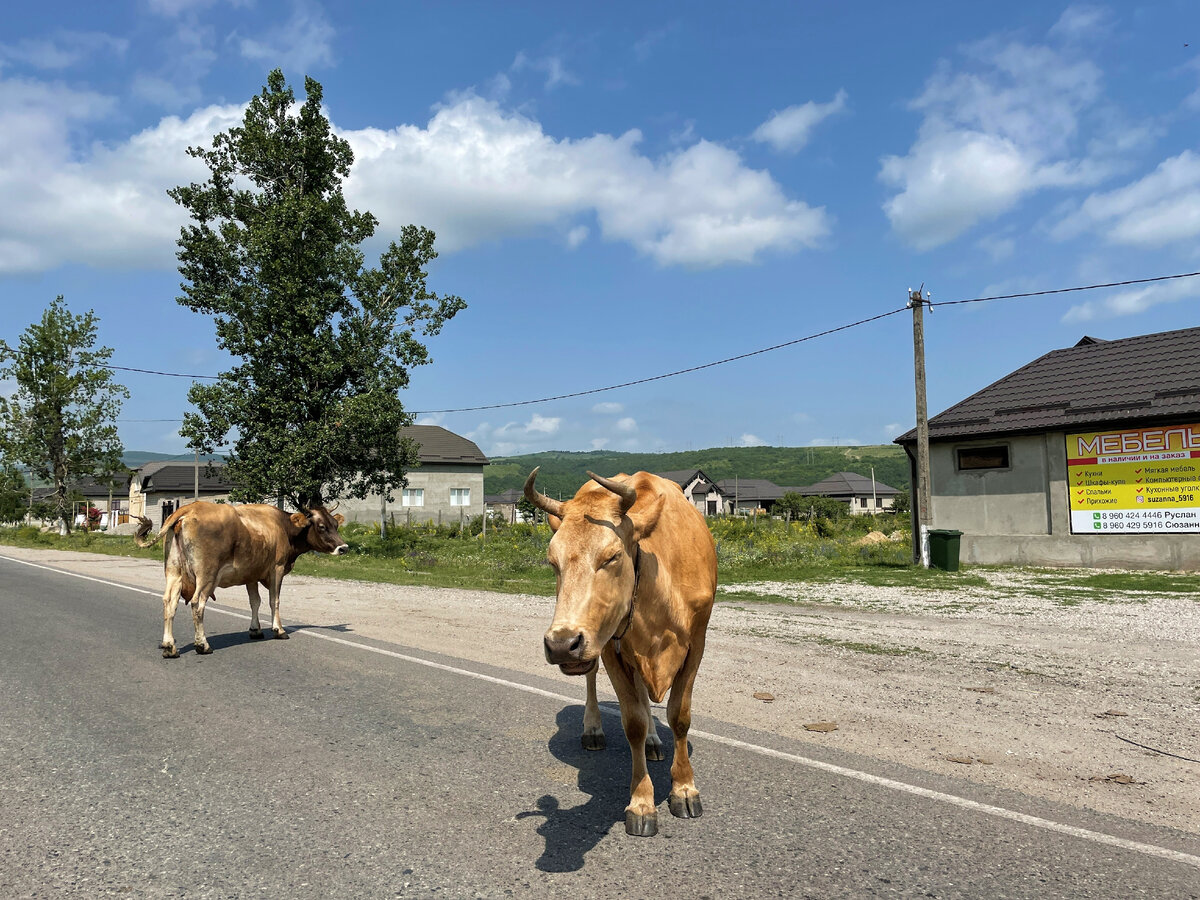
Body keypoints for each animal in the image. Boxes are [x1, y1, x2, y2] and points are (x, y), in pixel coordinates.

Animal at [138, 504, 350, 657]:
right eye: (321, 527)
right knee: (198, 604)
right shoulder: (277, 569)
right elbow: (274, 600)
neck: (282, 526)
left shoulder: (250, 574)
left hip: (174, 571)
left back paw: (169, 646)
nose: (344, 548)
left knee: (169, 602)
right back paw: (203, 645)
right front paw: (279, 630)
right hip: (206, 575)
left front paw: (255, 630)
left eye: (335, 524)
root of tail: (189, 508)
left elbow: (255, 601)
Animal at [523, 468, 710, 844]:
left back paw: (654, 741)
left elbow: (679, 716)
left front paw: (684, 789)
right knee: (594, 678)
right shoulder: (610, 646)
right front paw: (642, 804)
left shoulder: (697, 640)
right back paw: (593, 729)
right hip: (597, 641)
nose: (561, 644)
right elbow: (632, 722)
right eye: (552, 562)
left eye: (611, 557)